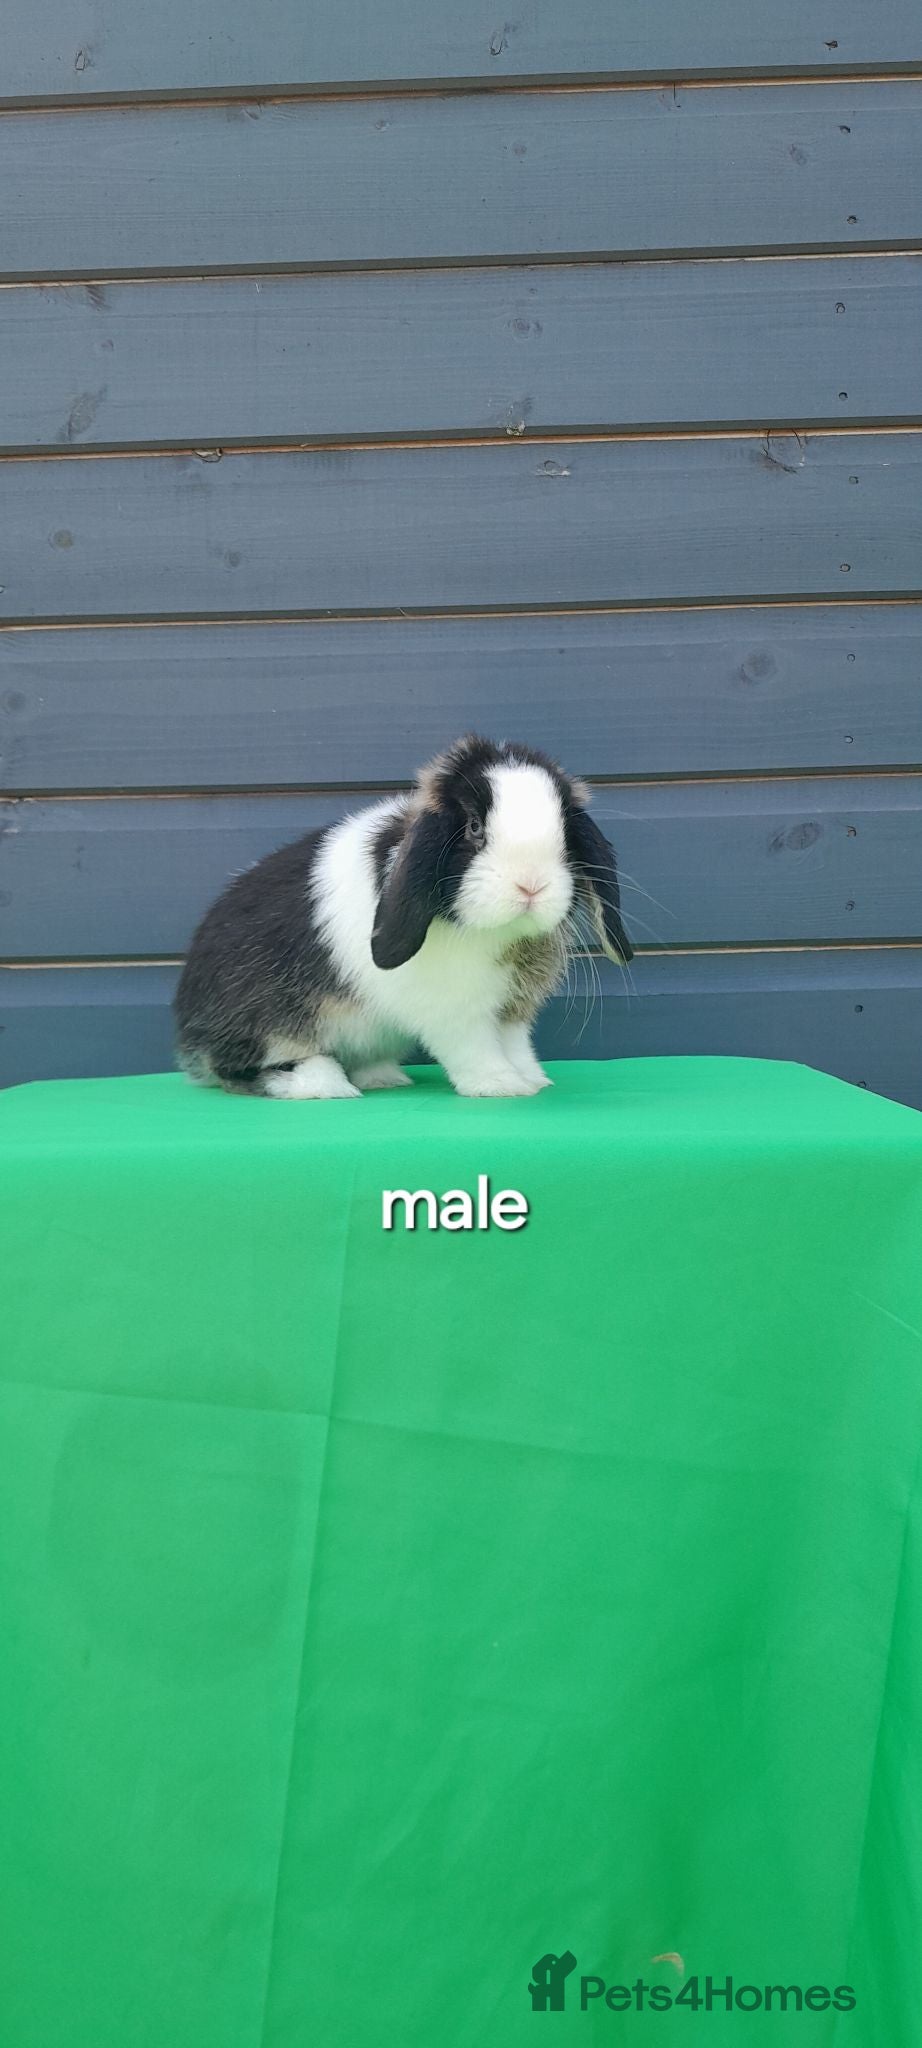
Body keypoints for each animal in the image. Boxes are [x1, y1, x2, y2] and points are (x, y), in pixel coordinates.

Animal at [173, 733, 633, 1099]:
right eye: (473, 827)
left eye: (564, 828)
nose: (531, 885)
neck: (498, 936)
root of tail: (188, 1031)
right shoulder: (454, 1012)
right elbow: (475, 1048)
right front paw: (500, 1086)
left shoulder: (512, 1010)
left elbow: (516, 1044)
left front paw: (533, 1081)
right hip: (268, 1028)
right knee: (241, 1069)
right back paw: (325, 1084)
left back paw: (381, 1077)